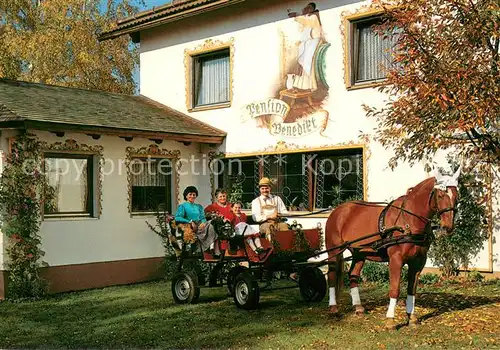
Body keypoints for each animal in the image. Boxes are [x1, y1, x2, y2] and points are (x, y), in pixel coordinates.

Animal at [324, 168, 460, 330]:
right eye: (440, 195)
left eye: (456, 195)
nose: (448, 227)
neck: (408, 221)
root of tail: (338, 210)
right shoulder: (396, 259)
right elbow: (395, 289)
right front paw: (390, 320)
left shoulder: (418, 262)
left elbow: (412, 289)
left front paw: (412, 318)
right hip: (333, 251)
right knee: (332, 275)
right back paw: (333, 308)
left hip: (359, 253)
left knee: (353, 275)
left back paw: (358, 307)